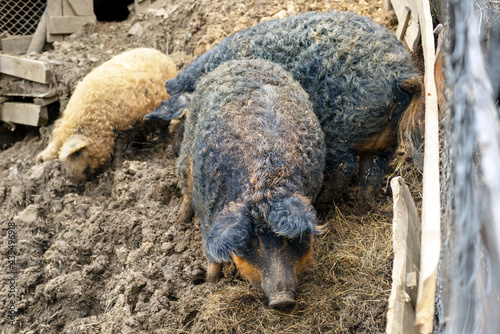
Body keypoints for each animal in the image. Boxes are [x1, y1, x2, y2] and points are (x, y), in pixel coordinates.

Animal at [35, 47, 176, 183]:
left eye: (77, 153)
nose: (69, 183)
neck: (99, 121)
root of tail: (164, 56)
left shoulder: (124, 126)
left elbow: (118, 148)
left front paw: (117, 169)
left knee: (165, 126)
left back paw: (164, 142)